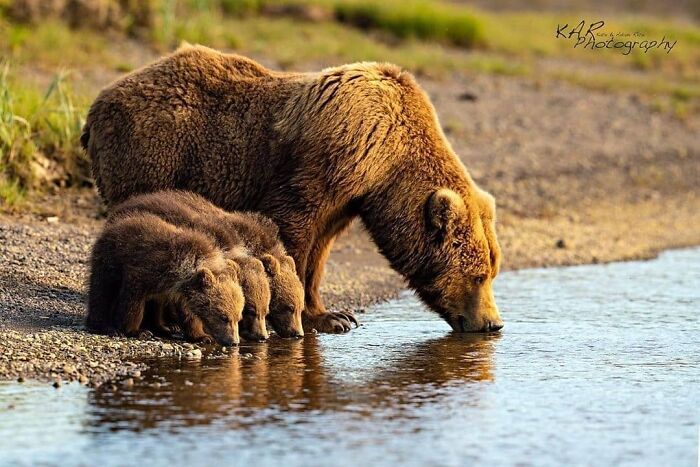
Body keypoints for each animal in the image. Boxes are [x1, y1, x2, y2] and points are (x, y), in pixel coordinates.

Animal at [83, 44, 504, 332]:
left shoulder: (347, 198)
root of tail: (100, 100)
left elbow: (320, 248)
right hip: (156, 150)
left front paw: (334, 314)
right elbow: (293, 227)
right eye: (478, 275)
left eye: (492, 270)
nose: (493, 323)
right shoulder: (328, 158)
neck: (385, 163)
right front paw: (304, 312)